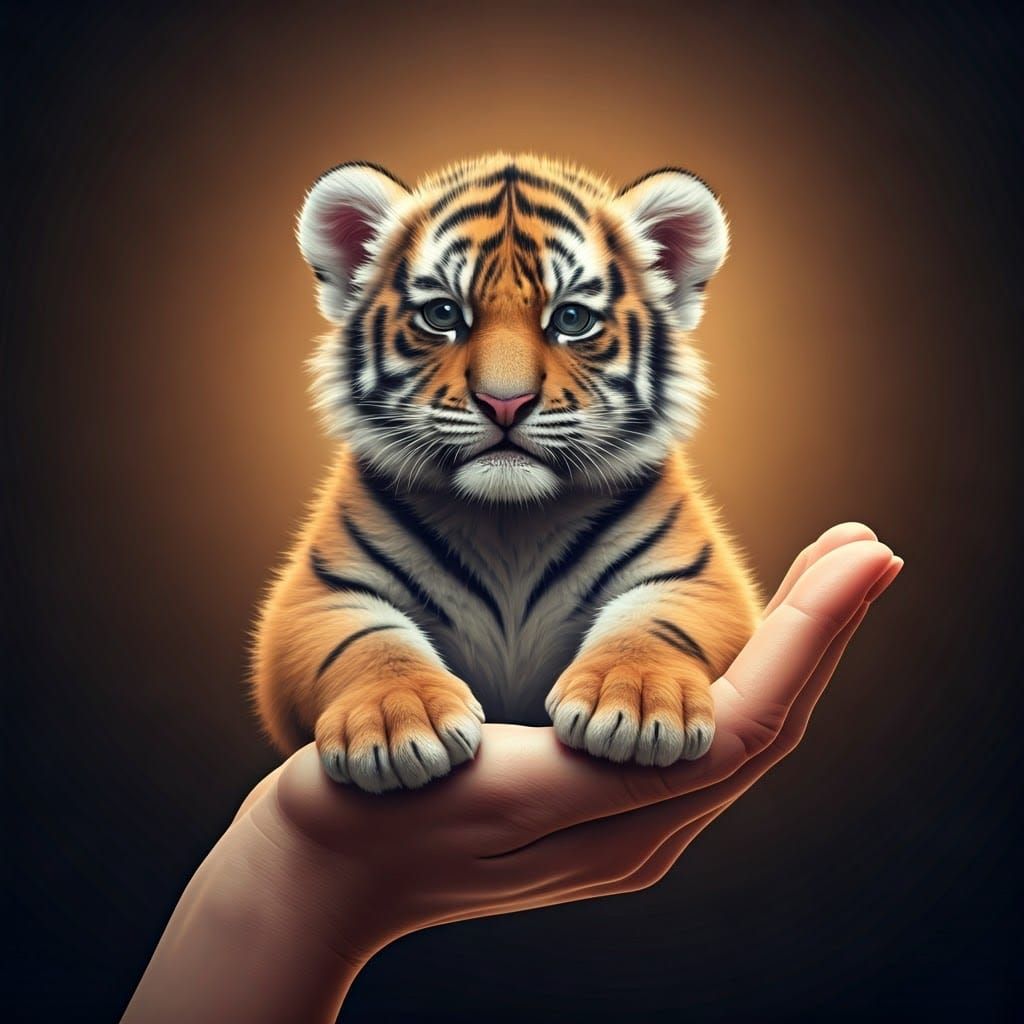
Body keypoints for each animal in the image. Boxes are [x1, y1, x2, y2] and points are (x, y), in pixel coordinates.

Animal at [252, 153, 760, 794]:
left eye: (572, 319)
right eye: (443, 313)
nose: (505, 402)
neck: (508, 524)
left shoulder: (700, 577)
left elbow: (655, 620)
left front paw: (638, 704)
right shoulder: (315, 596)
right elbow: (365, 640)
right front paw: (399, 721)